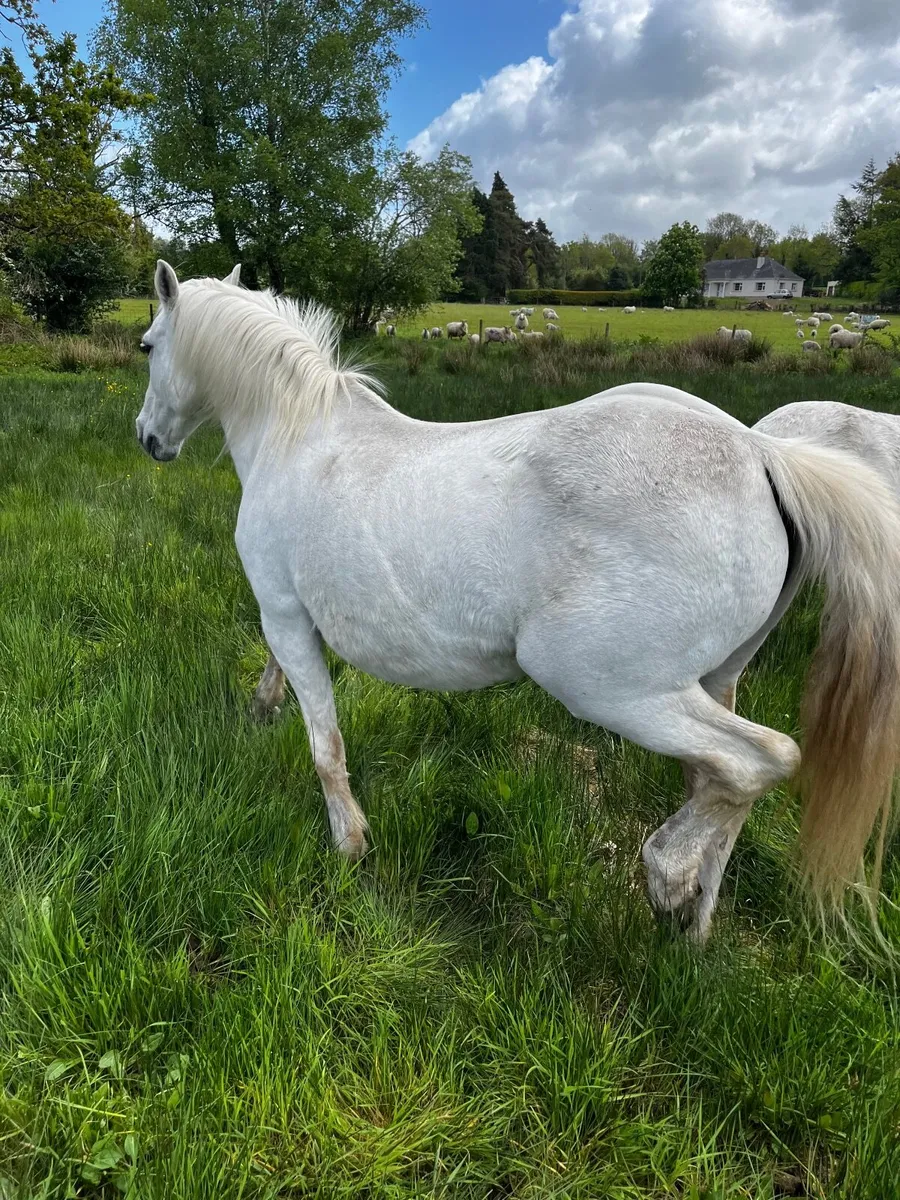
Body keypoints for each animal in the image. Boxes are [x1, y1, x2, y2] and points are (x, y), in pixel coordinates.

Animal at [135, 262, 900, 942]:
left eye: (146, 345)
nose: (148, 438)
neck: (298, 438)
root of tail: (763, 455)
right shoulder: (297, 619)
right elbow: (283, 685)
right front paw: (261, 713)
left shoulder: (286, 614)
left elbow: (325, 744)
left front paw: (349, 845)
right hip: (711, 682)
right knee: (716, 783)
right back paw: (694, 924)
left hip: (609, 687)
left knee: (758, 761)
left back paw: (667, 872)